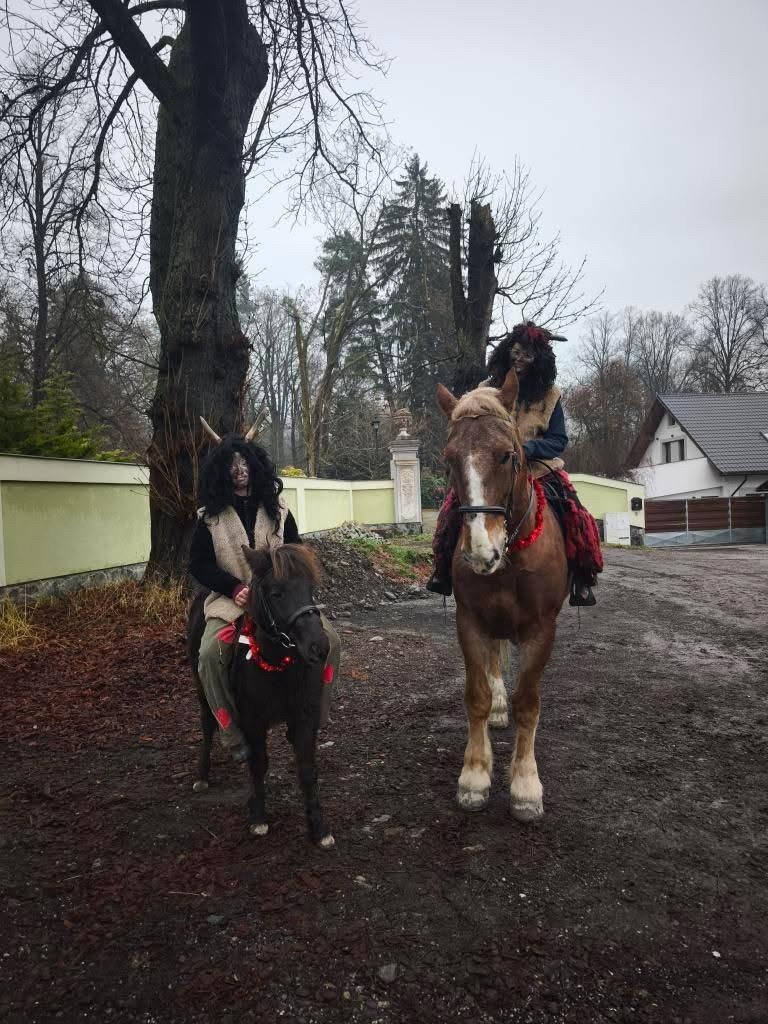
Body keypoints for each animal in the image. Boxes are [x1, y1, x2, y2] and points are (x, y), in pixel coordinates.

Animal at [187, 543, 335, 848]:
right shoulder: (253, 721)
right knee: (208, 726)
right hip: (202, 688)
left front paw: (318, 827)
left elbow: (307, 769)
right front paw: (258, 817)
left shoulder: (304, 717)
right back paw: (203, 774)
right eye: (276, 593)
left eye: (310, 588)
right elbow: (258, 763)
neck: (278, 666)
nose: (319, 647)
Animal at [436, 369, 569, 822]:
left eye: (508, 455)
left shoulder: (542, 630)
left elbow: (528, 703)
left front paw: (526, 786)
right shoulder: (470, 621)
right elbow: (475, 695)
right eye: (449, 459)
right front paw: (474, 776)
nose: (481, 552)